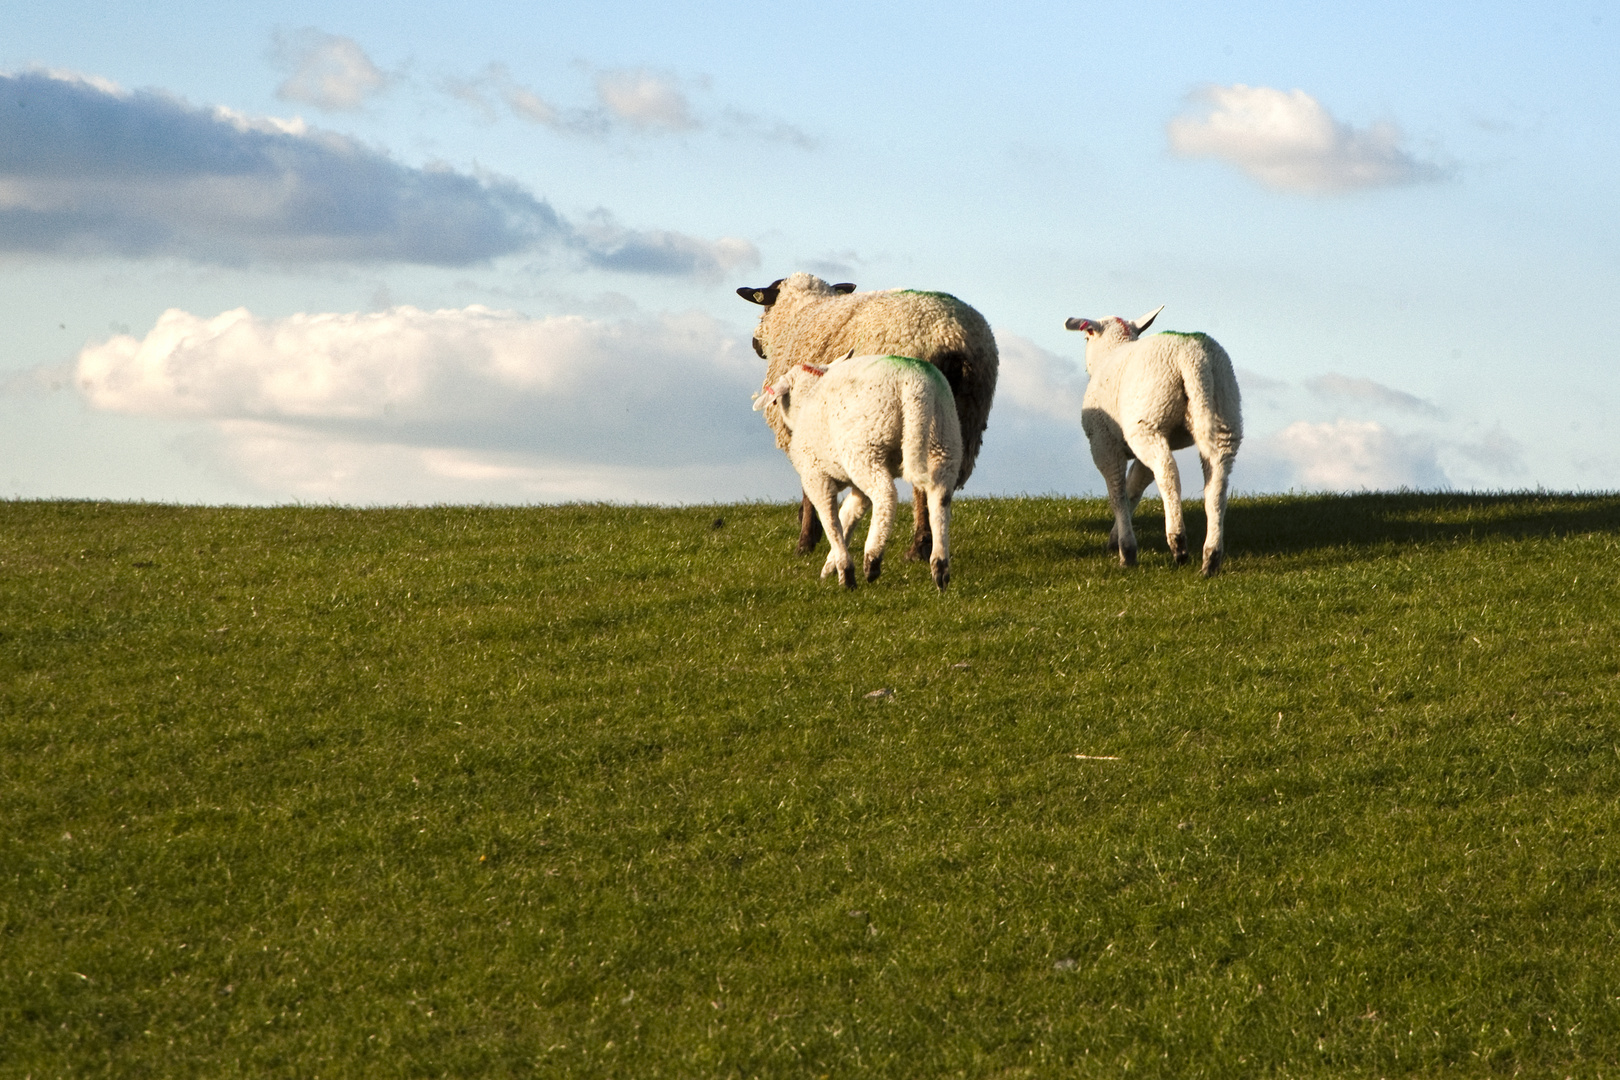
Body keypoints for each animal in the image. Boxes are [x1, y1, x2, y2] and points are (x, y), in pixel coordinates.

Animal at [738, 270, 991, 563]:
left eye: (765, 307)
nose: (755, 344)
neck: (800, 312)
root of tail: (951, 336)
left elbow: (810, 489)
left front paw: (806, 540)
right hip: (962, 419)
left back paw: (917, 547)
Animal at [748, 352, 959, 592]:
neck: (807, 396)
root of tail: (915, 385)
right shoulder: (856, 487)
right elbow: (848, 515)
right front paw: (830, 566)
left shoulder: (815, 477)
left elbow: (831, 520)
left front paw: (845, 571)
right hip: (944, 439)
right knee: (940, 498)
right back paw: (940, 566)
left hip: (865, 448)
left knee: (886, 495)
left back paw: (872, 558)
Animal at [1062, 306, 1237, 573]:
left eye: (1086, 337)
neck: (1112, 350)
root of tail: (1193, 358)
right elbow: (1134, 489)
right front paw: (1115, 540)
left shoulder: (1103, 442)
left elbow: (1118, 493)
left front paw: (1126, 550)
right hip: (1225, 413)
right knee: (1217, 485)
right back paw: (1211, 557)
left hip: (1148, 418)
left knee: (1168, 472)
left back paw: (1178, 543)